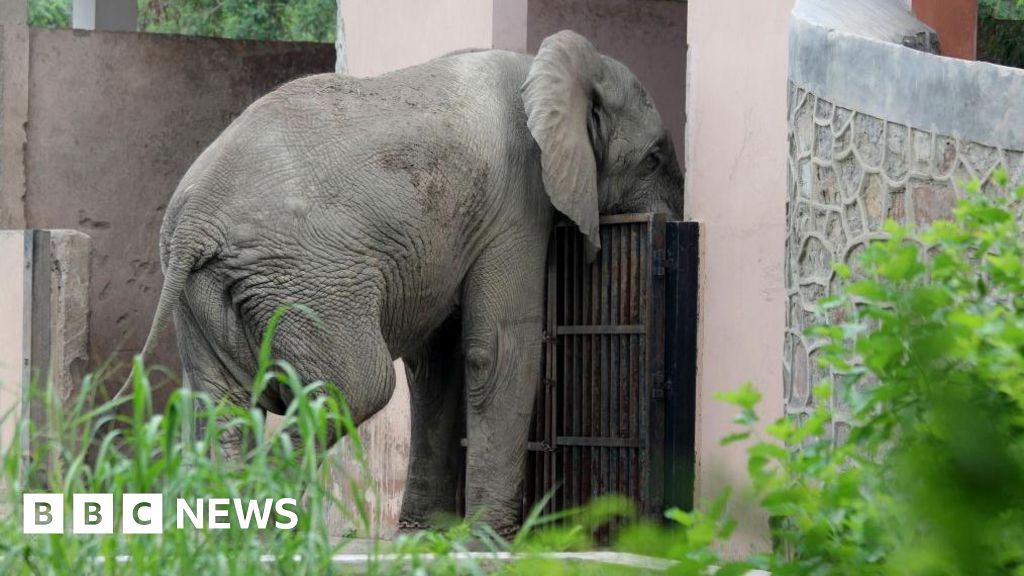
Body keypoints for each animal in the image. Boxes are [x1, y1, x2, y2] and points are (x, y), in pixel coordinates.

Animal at [136, 30, 683, 535]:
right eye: (654, 158)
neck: (547, 70)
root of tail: (194, 223)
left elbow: (437, 364)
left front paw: (427, 534)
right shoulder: (518, 197)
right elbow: (499, 348)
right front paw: (488, 540)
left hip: (210, 292)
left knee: (222, 407)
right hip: (306, 281)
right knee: (359, 385)